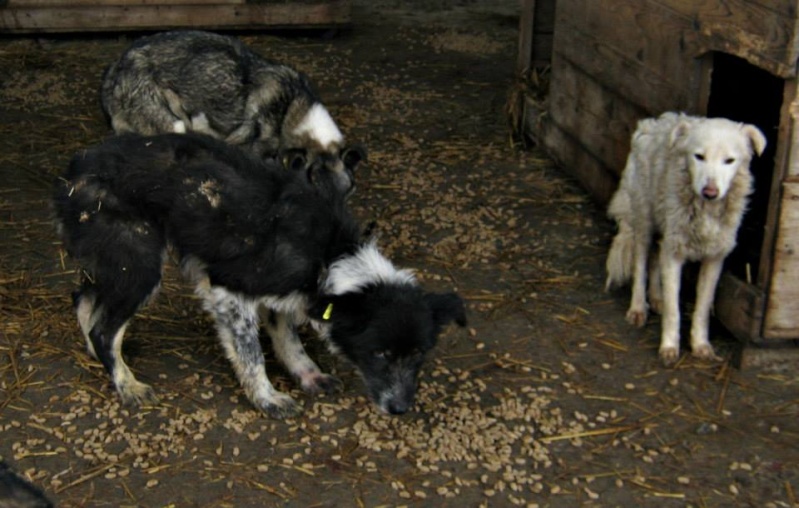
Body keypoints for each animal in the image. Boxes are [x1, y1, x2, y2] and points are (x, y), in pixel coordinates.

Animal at [54, 134, 468, 416]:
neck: (328, 252)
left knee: (84, 301)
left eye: (418, 355)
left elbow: (289, 341)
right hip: (139, 266)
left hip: (115, 263)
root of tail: (74, 168)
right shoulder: (229, 292)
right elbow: (252, 356)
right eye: (380, 353)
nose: (400, 409)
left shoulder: (284, 295)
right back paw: (126, 383)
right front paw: (267, 398)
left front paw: (308, 375)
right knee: (104, 328)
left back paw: (102, 357)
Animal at [608, 111, 768, 366]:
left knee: (655, 258)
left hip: (665, 229)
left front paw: (701, 345)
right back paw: (638, 307)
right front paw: (669, 347)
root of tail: (655, 122)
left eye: (729, 161)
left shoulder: (714, 259)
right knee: (640, 264)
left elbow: (702, 309)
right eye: (699, 157)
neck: (706, 211)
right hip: (645, 222)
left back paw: (656, 297)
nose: (710, 192)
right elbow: (674, 310)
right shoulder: (674, 255)